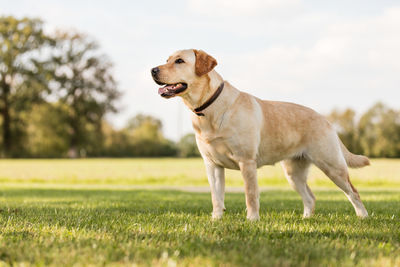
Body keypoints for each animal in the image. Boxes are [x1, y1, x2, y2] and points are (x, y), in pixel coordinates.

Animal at [151, 49, 368, 221]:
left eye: (180, 61)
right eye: (167, 59)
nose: (153, 70)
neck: (209, 108)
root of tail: (326, 119)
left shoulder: (246, 161)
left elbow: (251, 195)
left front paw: (252, 220)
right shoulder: (212, 165)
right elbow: (216, 196)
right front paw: (216, 219)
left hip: (332, 166)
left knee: (354, 192)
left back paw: (363, 217)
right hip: (293, 173)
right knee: (310, 197)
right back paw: (306, 219)